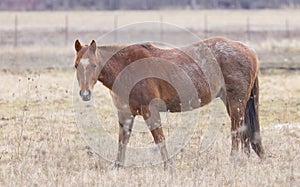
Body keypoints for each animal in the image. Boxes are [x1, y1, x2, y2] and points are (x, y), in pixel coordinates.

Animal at [73, 36, 264, 168]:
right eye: (76, 65)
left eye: (94, 65)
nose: (85, 94)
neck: (127, 68)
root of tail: (248, 50)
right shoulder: (125, 114)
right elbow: (123, 141)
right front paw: (117, 167)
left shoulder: (150, 111)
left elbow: (159, 139)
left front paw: (168, 166)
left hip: (236, 102)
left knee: (237, 132)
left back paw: (233, 160)